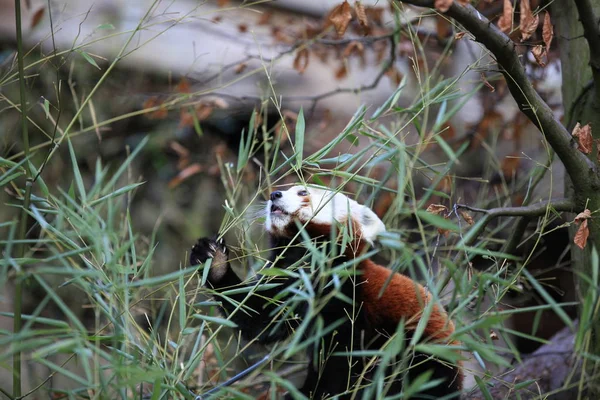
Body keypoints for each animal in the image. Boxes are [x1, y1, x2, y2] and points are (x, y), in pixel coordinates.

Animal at [190, 186, 462, 398]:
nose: (274, 194)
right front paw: (215, 263)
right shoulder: (288, 284)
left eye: (303, 192)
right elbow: (259, 318)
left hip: (424, 353)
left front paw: (324, 392)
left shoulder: (350, 303)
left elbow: (341, 363)